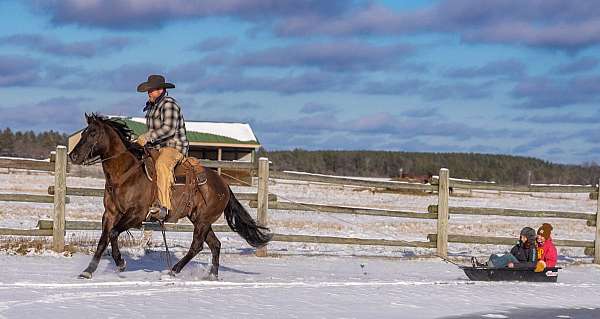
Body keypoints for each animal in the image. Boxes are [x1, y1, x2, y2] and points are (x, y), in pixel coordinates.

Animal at [68, 114, 272, 280]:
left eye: (93, 133)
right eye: (83, 133)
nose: (73, 156)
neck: (126, 174)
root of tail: (224, 185)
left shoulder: (136, 214)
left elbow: (113, 233)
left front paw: (120, 263)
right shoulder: (110, 213)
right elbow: (103, 239)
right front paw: (88, 270)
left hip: (203, 221)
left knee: (197, 245)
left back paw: (174, 270)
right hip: (200, 219)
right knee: (215, 244)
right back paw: (211, 275)